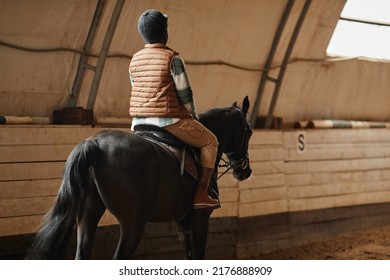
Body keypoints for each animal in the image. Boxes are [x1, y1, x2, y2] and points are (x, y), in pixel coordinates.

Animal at [27, 97, 253, 260]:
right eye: (249, 131)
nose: (244, 171)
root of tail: (96, 144)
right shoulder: (200, 219)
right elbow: (198, 257)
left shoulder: (181, 222)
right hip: (132, 224)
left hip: (87, 218)